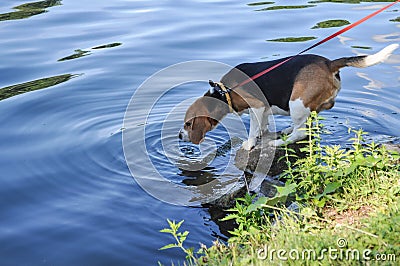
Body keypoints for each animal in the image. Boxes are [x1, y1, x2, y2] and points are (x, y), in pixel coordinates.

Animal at [180, 44, 398, 151]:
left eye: (188, 124)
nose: (180, 137)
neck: (223, 92)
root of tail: (329, 64)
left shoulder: (257, 106)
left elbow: (252, 131)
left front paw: (250, 144)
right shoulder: (264, 110)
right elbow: (263, 126)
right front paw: (262, 134)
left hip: (297, 103)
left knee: (300, 133)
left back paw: (278, 143)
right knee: (306, 126)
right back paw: (287, 130)